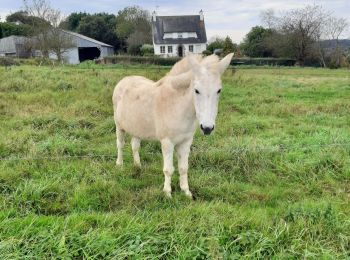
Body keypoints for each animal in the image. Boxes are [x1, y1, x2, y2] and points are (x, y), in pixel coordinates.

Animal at [113, 53, 232, 198]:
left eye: (219, 90)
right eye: (196, 90)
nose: (207, 128)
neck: (177, 105)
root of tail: (124, 80)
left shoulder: (186, 142)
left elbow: (183, 168)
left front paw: (186, 192)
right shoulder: (167, 142)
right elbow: (168, 169)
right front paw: (167, 194)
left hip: (136, 127)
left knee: (135, 146)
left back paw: (138, 166)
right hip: (119, 126)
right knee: (120, 144)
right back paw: (119, 164)